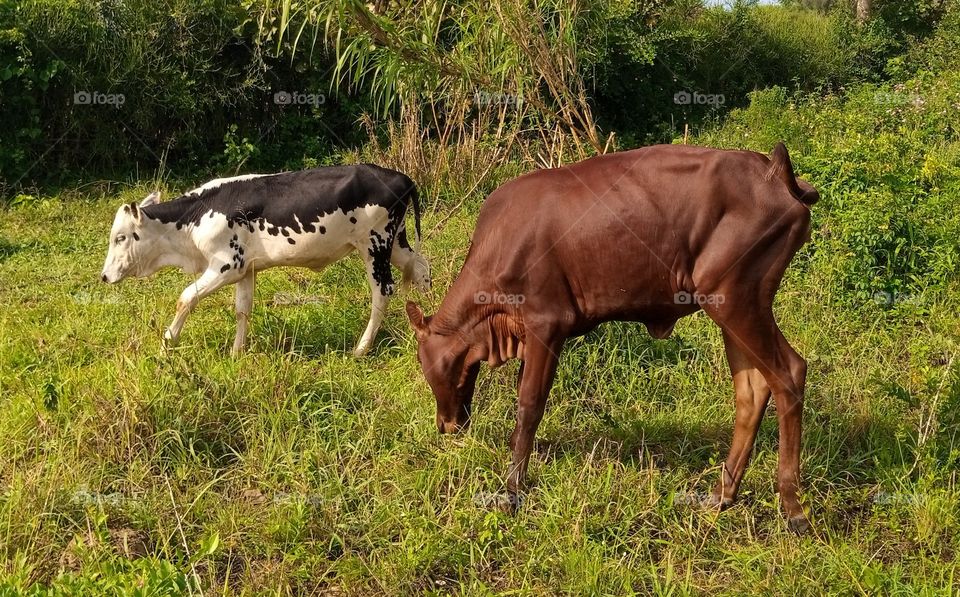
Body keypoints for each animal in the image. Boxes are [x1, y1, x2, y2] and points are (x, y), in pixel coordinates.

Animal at [101, 165, 431, 356]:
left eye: (120, 237)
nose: (104, 277)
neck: (196, 217)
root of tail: (401, 176)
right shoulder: (246, 269)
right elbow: (242, 310)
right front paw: (237, 354)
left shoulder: (226, 265)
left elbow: (186, 297)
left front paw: (167, 343)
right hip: (396, 241)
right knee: (421, 267)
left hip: (375, 243)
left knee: (382, 291)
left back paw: (361, 348)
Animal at [406, 143, 818, 532]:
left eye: (428, 368)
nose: (445, 425)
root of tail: (774, 172)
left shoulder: (547, 323)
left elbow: (529, 405)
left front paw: (512, 490)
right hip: (731, 307)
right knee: (751, 390)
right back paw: (720, 495)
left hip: (737, 300)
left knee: (789, 373)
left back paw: (793, 507)